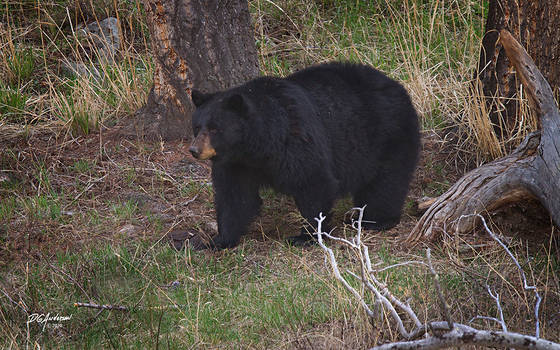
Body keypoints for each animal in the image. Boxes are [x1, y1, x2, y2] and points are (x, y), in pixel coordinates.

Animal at [188, 62, 420, 249]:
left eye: (215, 129)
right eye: (197, 127)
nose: (194, 150)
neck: (257, 145)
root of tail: (398, 86)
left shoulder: (296, 139)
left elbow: (313, 182)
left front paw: (306, 236)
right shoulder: (236, 163)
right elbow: (234, 196)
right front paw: (218, 240)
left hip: (387, 135)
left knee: (386, 181)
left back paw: (376, 220)